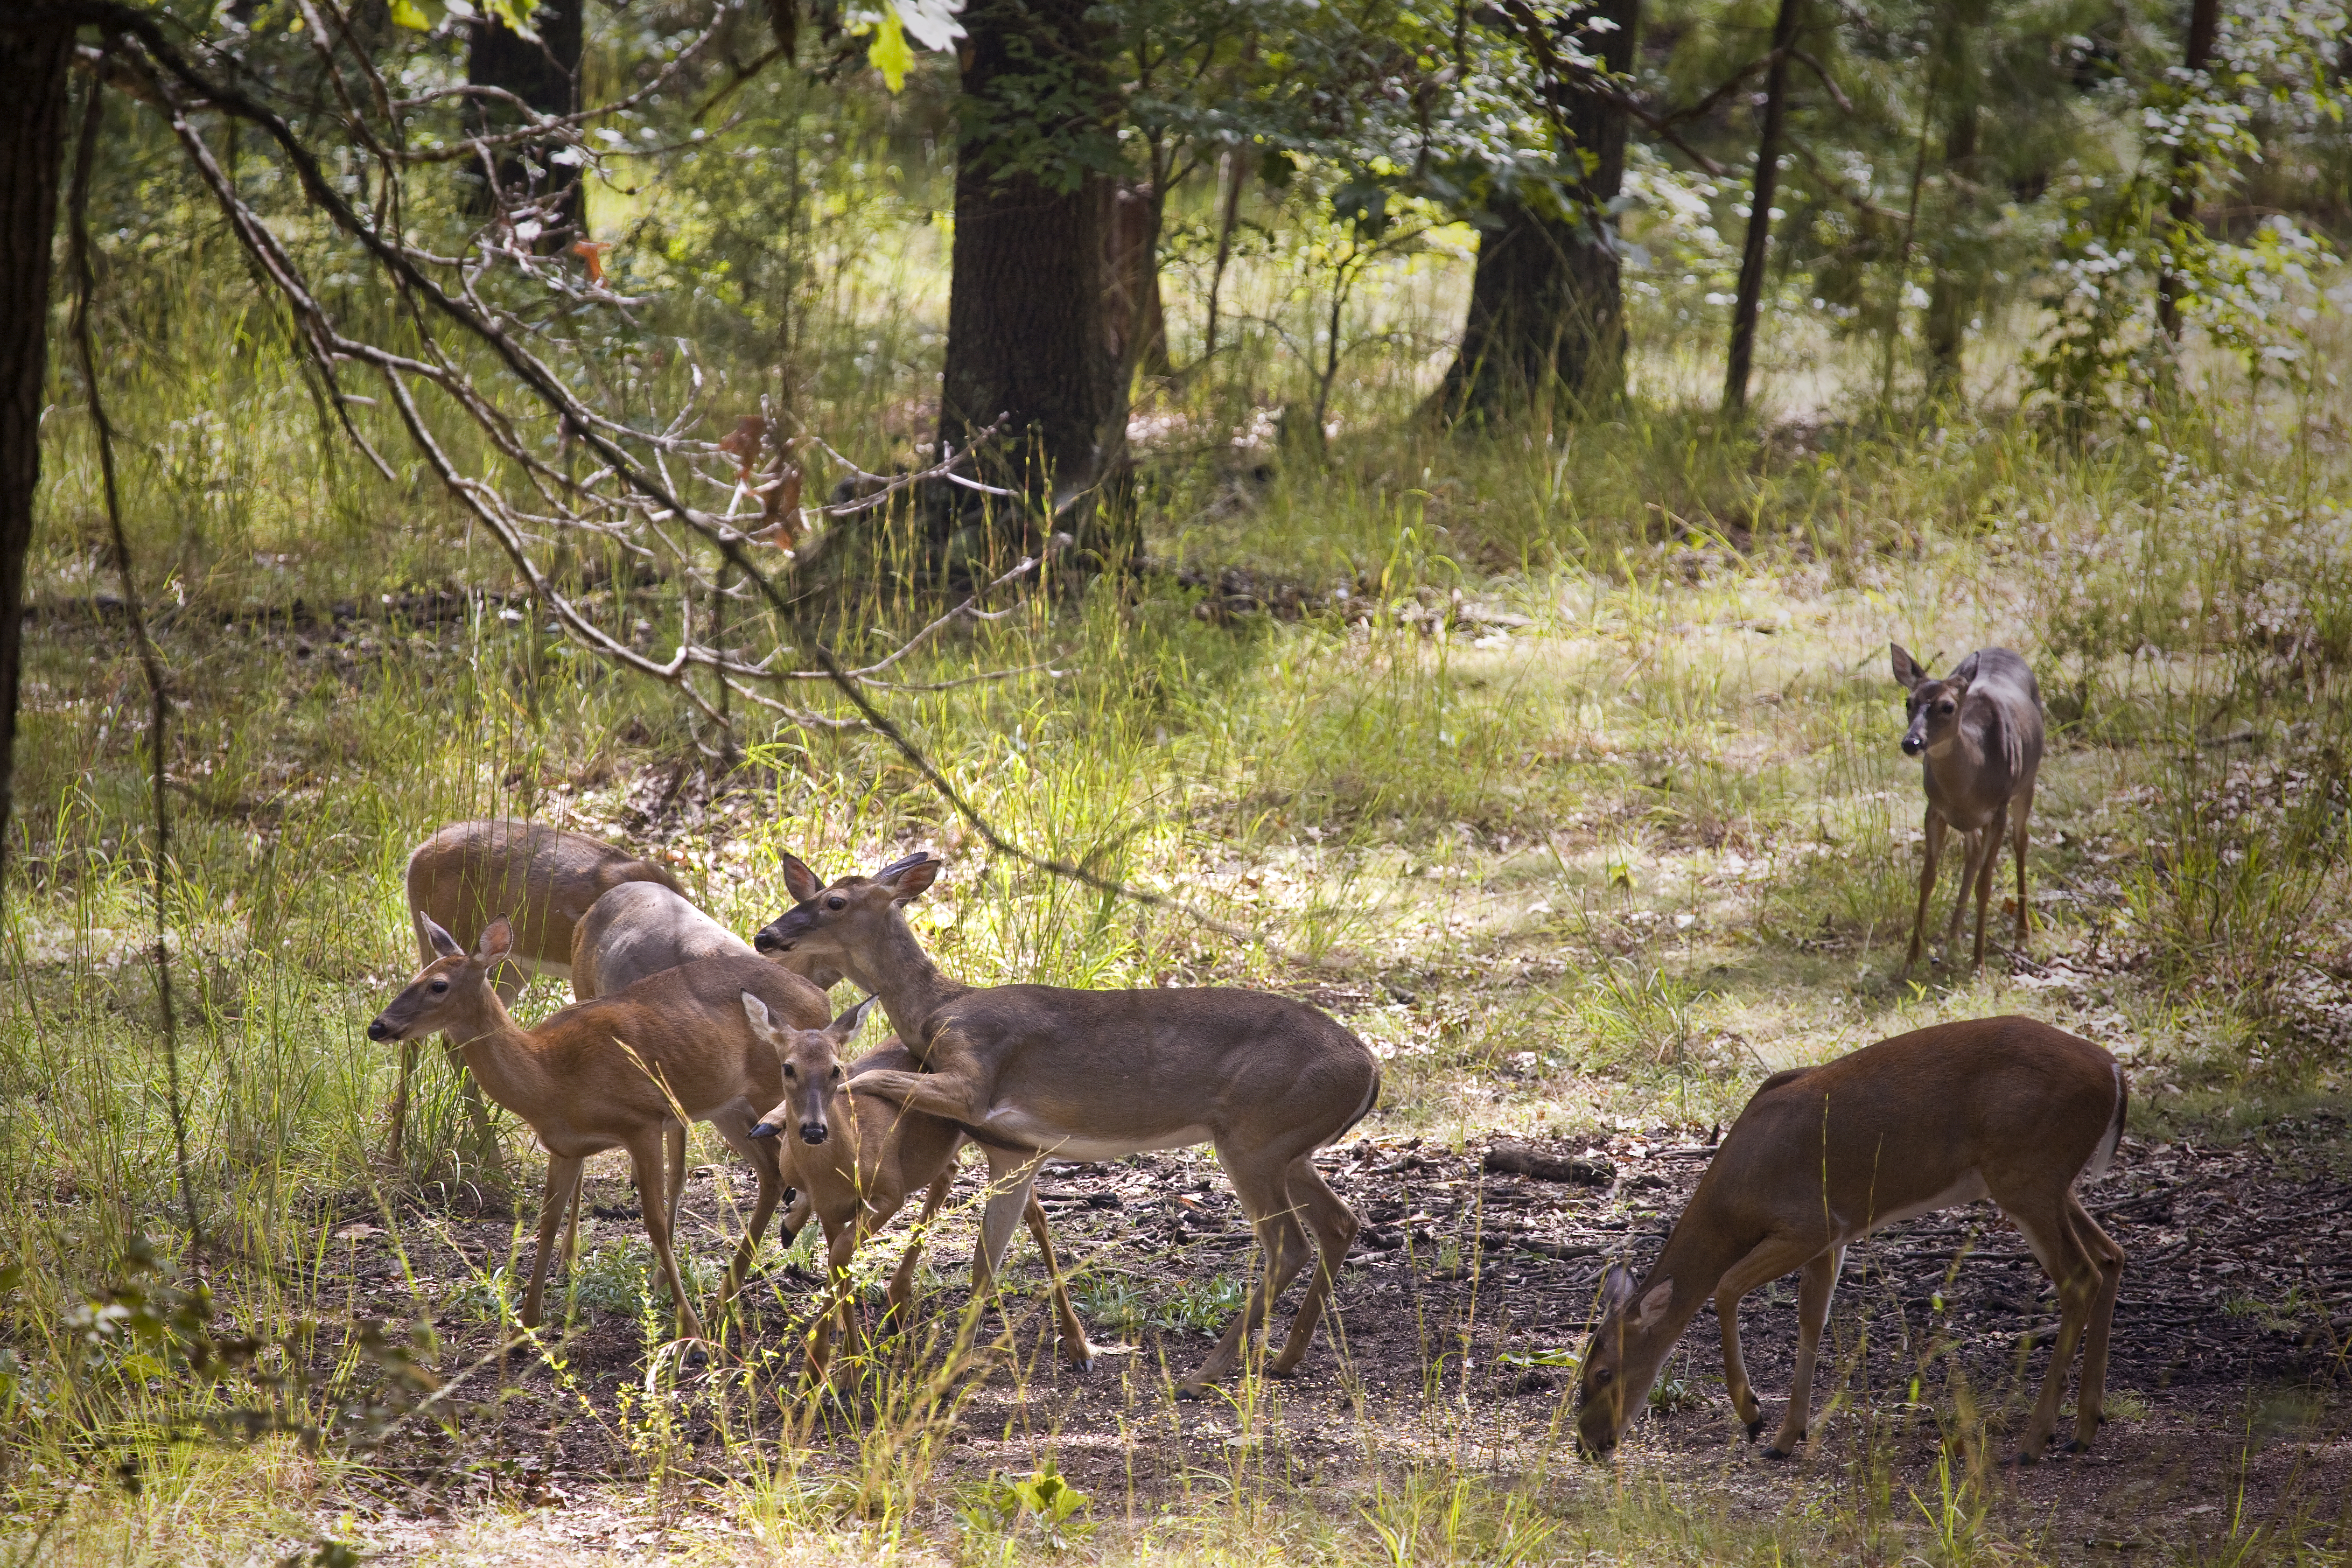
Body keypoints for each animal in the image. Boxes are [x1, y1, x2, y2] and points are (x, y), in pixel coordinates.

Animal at [357, 926, 818, 1345]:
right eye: (414, 976)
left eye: (438, 985)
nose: (378, 1027)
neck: (550, 1076)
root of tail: (821, 997)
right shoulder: (565, 1146)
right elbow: (547, 1222)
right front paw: (524, 1327)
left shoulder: (644, 1121)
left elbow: (654, 1222)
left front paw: (688, 1327)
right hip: (730, 1107)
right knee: (771, 1173)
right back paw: (725, 1297)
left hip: (773, 1093)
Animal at [738, 1001, 1096, 1382]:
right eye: (788, 1068)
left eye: (836, 1069)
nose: (814, 1130)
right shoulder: (831, 1209)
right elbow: (838, 1266)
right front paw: (826, 1368)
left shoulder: (889, 1193)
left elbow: (839, 1258)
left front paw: (843, 1371)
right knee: (953, 1175)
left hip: (1004, 1146)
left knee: (1035, 1215)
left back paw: (1079, 1348)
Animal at [1571, 1020, 2126, 1476]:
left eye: (1603, 1372)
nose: (1586, 1444)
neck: (1736, 1198)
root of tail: (2116, 1073)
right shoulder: (1830, 1240)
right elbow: (1811, 1318)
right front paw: (1785, 1438)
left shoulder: (1809, 1224)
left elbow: (1726, 1288)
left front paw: (1753, 1414)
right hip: (2046, 1182)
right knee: (2111, 1255)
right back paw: (2083, 1429)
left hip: (2026, 1172)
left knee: (2081, 1276)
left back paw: (2034, 1443)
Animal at [1891, 644, 2041, 973]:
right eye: (1908, 702)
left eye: (1947, 707)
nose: (1911, 742)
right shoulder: (1935, 809)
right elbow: (1927, 879)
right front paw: (1909, 962)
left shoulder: (1998, 810)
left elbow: (1985, 884)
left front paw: (1979, 965)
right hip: (1969, 820)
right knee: (1972, 854)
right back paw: (1953, 939)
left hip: (2027, 784)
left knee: (2021, 841)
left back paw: (2023, 934)